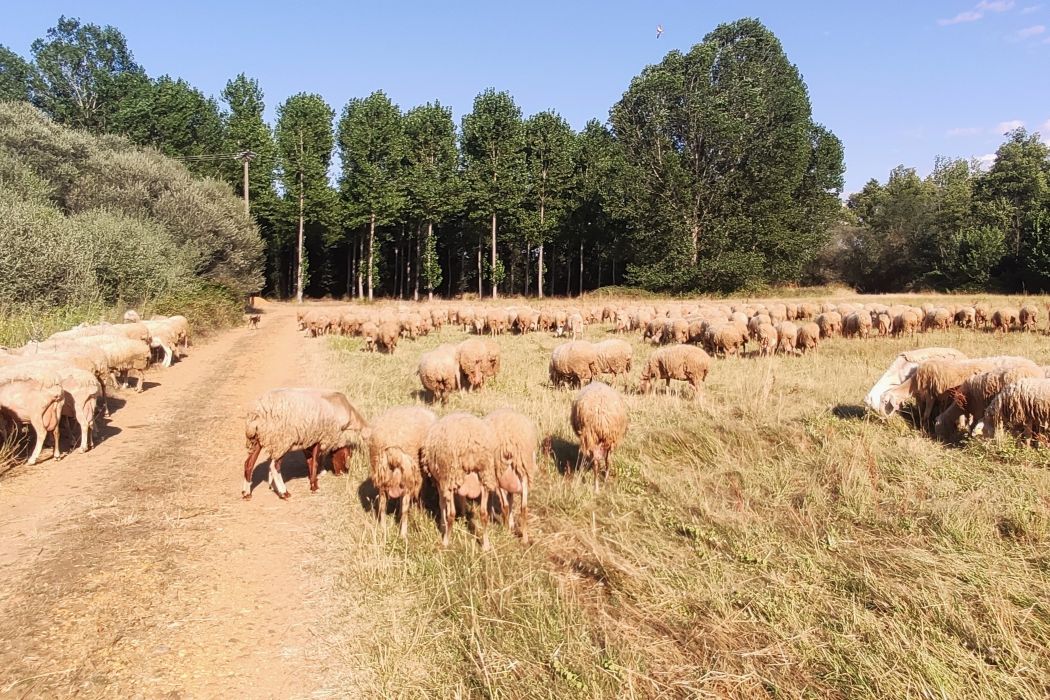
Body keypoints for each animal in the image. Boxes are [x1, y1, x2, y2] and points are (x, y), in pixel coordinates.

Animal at [368, 406, 437, 540]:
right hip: (409, 474)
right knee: (405, 504)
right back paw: (403, 533)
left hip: (382, 474)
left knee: (383, 504)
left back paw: (383, 529)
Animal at [422, 412, 500, 549]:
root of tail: (470, 443)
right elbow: (462, 499)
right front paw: (463, 518)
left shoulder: (440, 482)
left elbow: (442, 504)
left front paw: (442, 525)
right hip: (485, 475)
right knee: (484, 513)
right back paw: (486, 545)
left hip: (450, 476)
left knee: (451, 513)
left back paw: (446, 541)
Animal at [484, 408, 538, 544]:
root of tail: (508, 443)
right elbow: (511, 502)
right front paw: (511, 525)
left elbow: (508, 503)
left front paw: (508, 526)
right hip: (523, 472)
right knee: (523, 508)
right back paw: (524, 539)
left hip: (502, 475)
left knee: (508, 506)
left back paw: (509, 532)